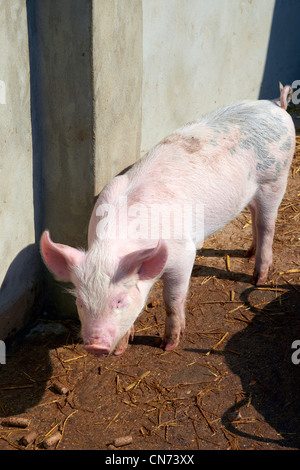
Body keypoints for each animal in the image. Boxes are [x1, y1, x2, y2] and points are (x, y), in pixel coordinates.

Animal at [39, 84, 296, 356]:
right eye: (79, 301)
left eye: (119, 300)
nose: (95, 346)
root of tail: (274, 106)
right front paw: (124, 346)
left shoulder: (184, 254)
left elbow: (172, 299)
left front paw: (168, 344)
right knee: (256, 217)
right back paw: (248, 253)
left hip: (275, 179)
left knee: (267, 225)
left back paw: (258, 278)